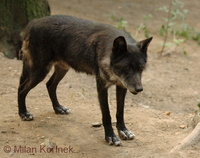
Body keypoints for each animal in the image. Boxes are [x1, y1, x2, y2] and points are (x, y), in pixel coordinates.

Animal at [18, 15, 153, 146]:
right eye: (127, 67)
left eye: (141, 68)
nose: (139, 89)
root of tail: (32, 23)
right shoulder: (102, 87)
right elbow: (107, 115)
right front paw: (110, 137)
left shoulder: (121, 86)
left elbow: (120, 112)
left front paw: (123, 131)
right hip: (39, 72)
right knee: (22, 88)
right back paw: (23, 113)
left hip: (62, 69)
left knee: (49, 84)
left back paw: (58, 108)